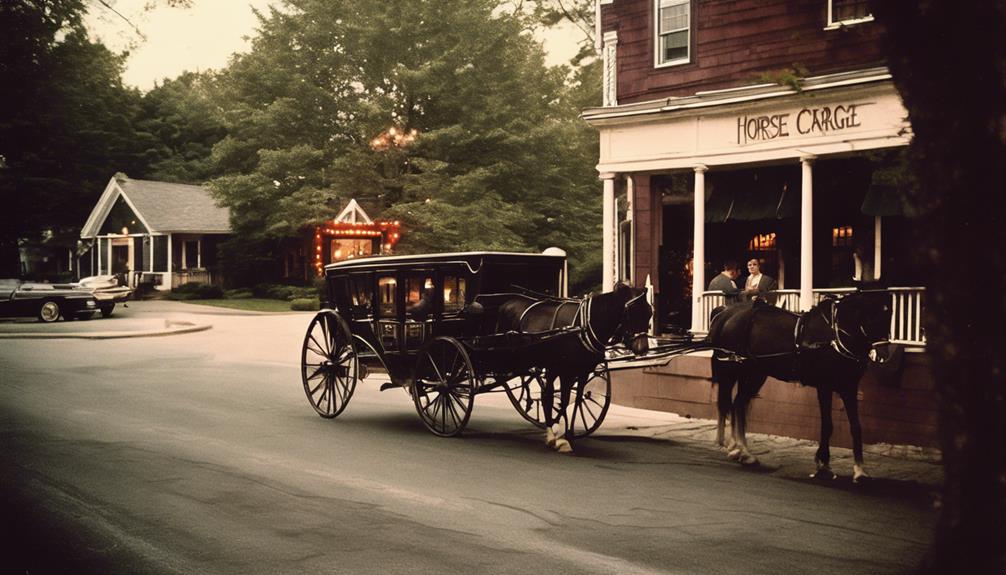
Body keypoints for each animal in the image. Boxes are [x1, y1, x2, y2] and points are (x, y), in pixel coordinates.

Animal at [496, 283, 651, 454]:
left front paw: (567, 433)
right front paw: (556, 437)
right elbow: (562, 400)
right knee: (547, 394)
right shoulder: (564, 372)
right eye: (631, 312)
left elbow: (575, 400)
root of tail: (507, 302)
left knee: (544, 391)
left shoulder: (583, 372)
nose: (643, 348)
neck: (583, 326)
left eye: (649, 313)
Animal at [712, 291, 893, 480]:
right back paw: (742, 451)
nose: (883, 354)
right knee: (734, 405)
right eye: (871, 316)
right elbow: (827, 425)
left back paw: (741, 451)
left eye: (889, 314)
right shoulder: (824, 386)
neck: (835, 335)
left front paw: (859, 470)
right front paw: (823, 464)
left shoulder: (849, 387)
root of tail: (728, 314)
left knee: (738, 405)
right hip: (734, 372)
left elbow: (856, 427)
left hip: (754, 374)